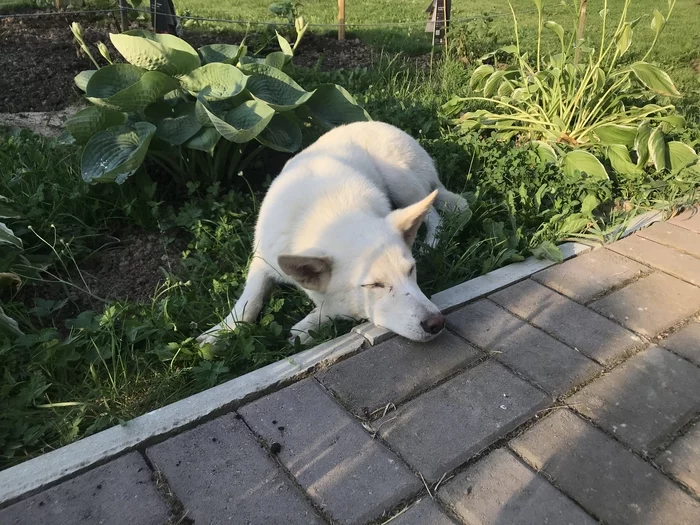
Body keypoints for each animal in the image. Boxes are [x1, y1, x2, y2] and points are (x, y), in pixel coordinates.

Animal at [200, 121, 468, 346]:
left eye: (411, 270)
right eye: (374, 285)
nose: (436, 323)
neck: (324, 214)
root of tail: (381, 123)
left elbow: (330, 307)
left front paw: (306, 326)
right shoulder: (262, 259)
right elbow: (250, 298)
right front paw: (222, 331)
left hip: (400, 182)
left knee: (435, 214)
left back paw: (431, 244)